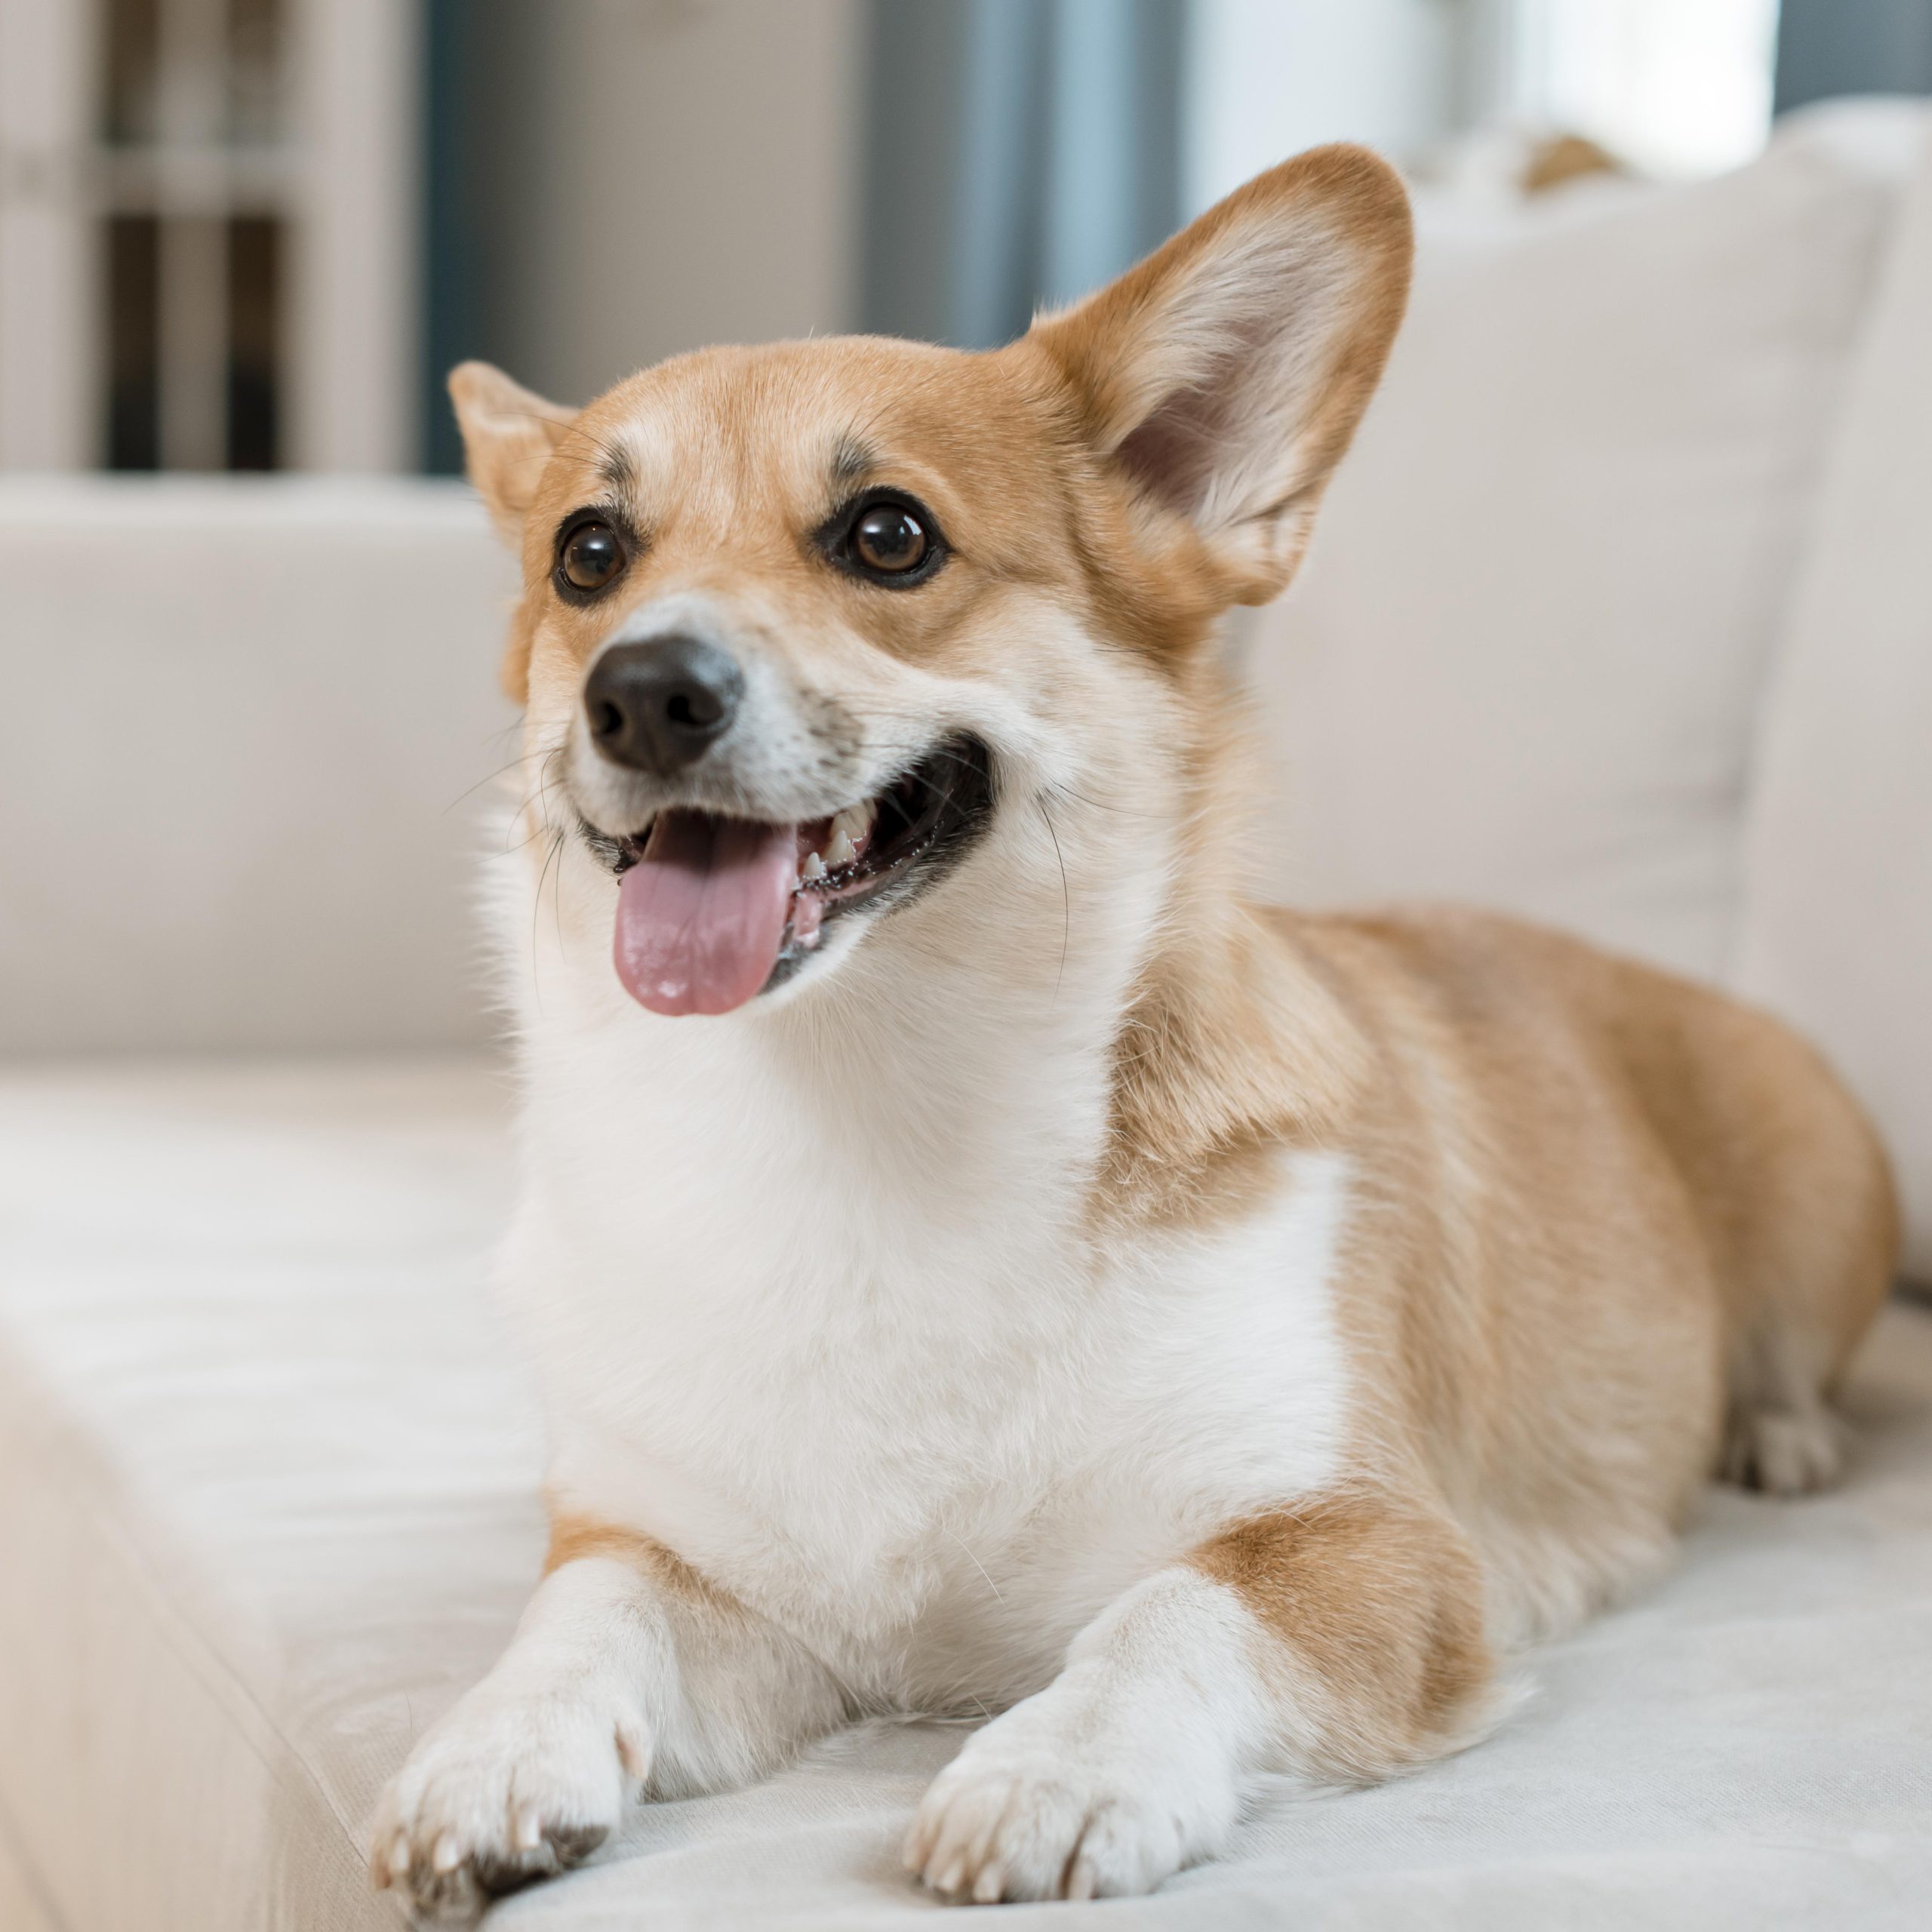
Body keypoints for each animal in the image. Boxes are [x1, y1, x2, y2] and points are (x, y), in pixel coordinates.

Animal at [368, 146, 1893, 1916]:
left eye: (889, 536)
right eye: (588, 554)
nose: (640, 692)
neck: (865, 1121)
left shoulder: (1368, 1543)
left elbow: (1169, 1609)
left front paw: (1058, 1769)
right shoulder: (694, 1570)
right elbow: (580, 1612)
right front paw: (490, 1748)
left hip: (1808, 1209)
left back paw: (1777, 1436)